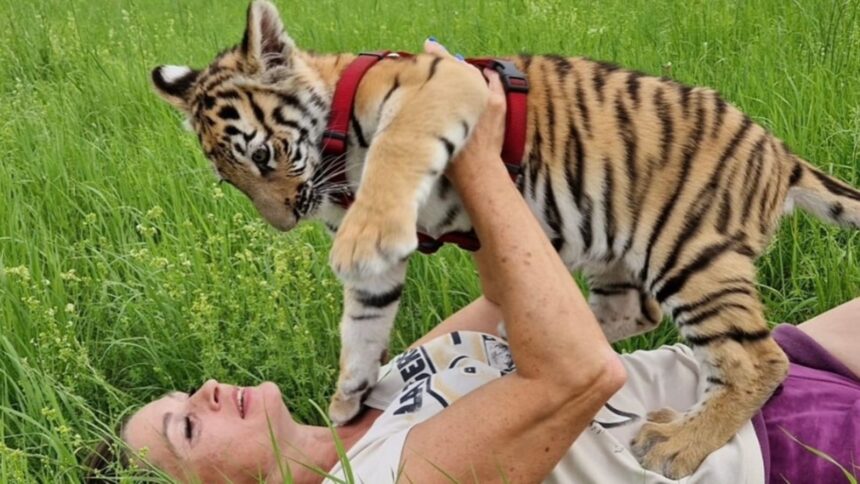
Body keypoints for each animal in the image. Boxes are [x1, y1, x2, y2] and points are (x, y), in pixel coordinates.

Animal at [150, 0, 860, 478]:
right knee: (643, 315)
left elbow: (399, 148)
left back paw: (676, 445)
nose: (283, 221)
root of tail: (780, 156)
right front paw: (349, 393)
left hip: (691, 250)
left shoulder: (442, 87)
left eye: (264, 154)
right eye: (230, 178)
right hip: (619, 248)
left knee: (760, 361)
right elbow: (363, 321)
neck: (333, 159)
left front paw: (361, 239)